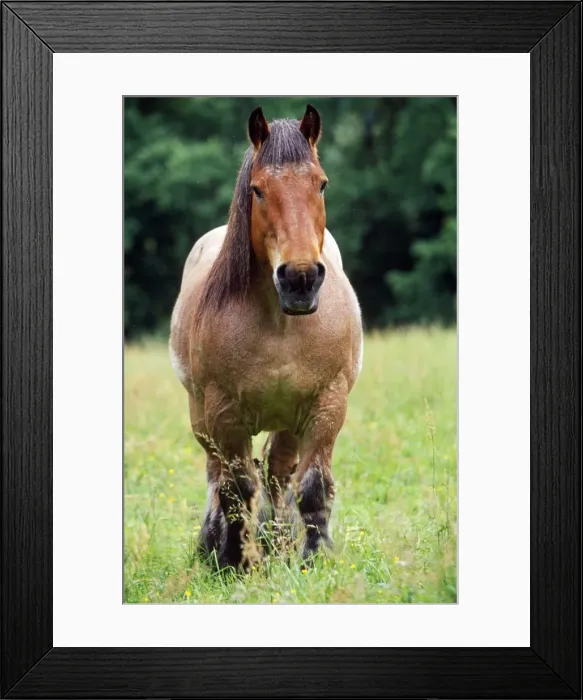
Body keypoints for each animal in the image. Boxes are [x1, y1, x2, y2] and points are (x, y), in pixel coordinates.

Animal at [169, 104, 363, 571]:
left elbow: (312, 486)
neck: (280, 324)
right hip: (202, 419)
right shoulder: (223, 414)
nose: (300, 279)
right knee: (219, 475)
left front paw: (314, 558)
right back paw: (214, 544)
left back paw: (279, 542)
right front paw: (236, 562)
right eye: (257, 191)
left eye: (321, 183)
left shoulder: (327, 405)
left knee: (279, 475)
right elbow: (237, 489)